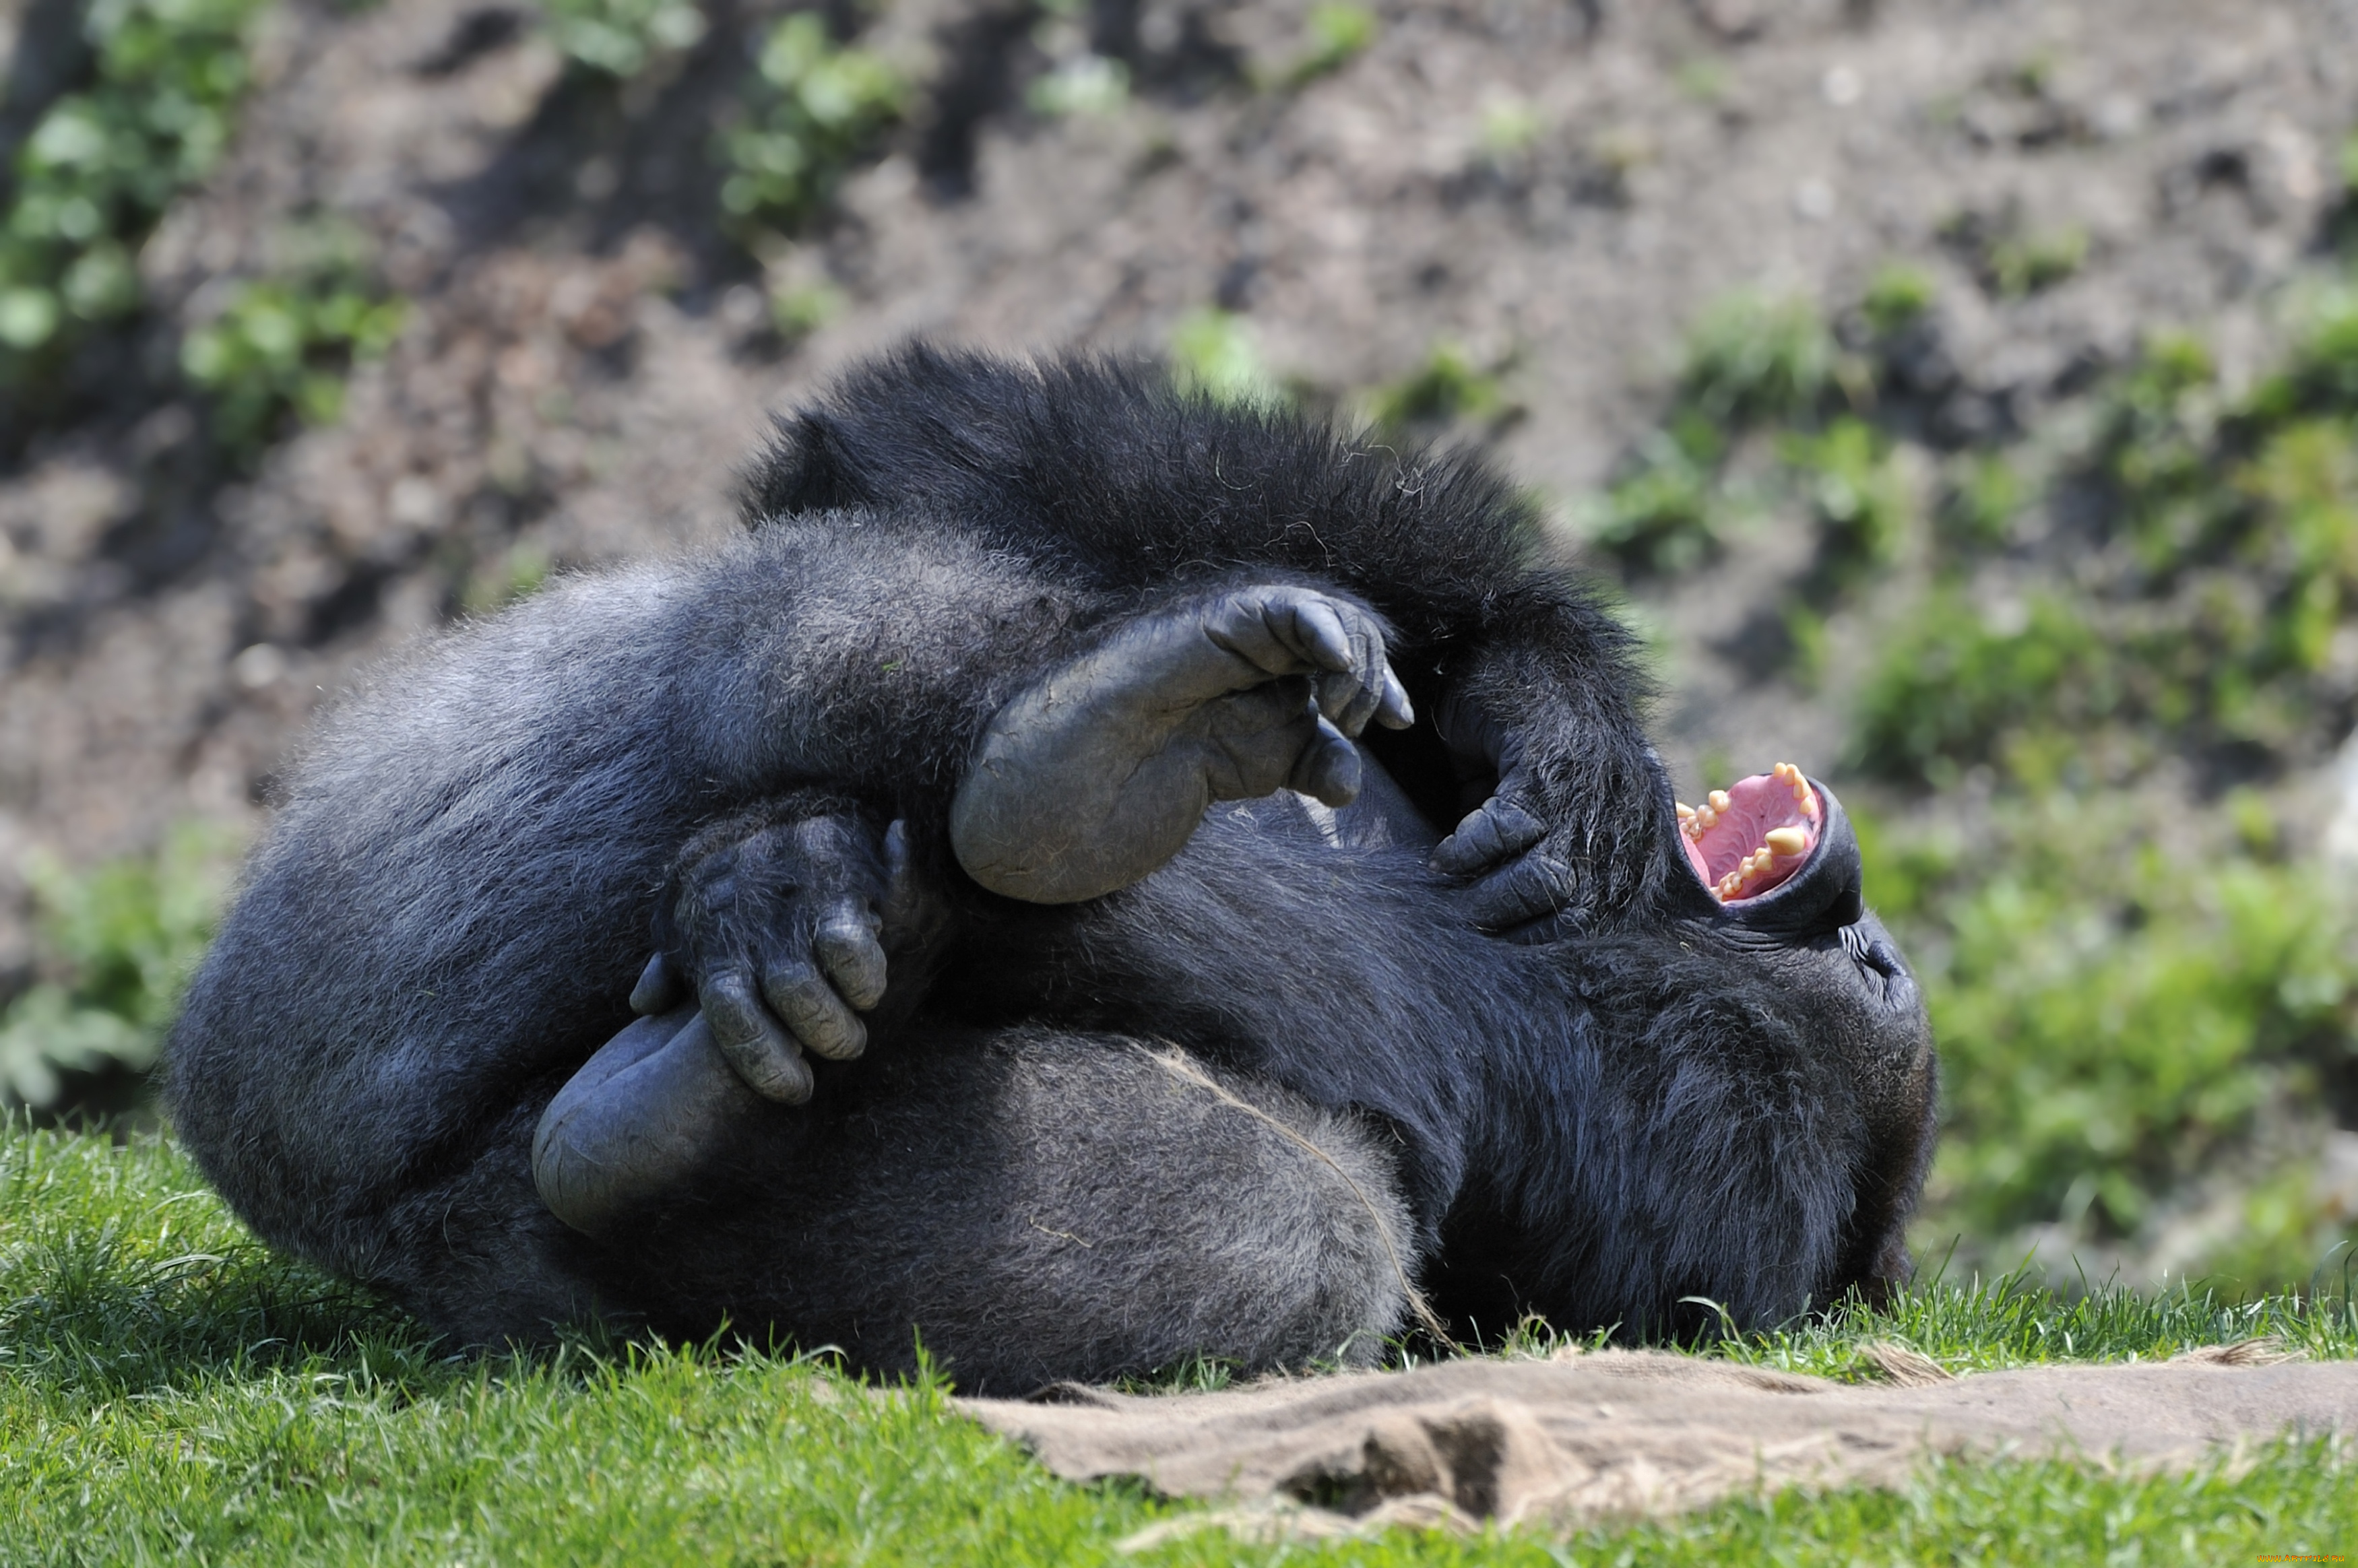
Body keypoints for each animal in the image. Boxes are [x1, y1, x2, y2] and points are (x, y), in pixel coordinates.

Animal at [166, 349, 1934, 1386]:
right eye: (1864, 945)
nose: (1875, 935)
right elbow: (953, 439)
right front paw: (1546, 697)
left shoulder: (1719, 1182)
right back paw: (1065, 741)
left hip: (347, 1060)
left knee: (1298, 1232)